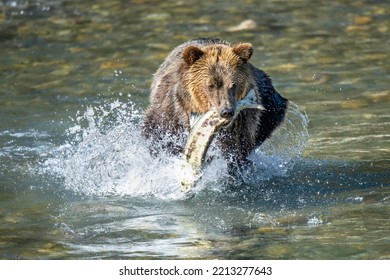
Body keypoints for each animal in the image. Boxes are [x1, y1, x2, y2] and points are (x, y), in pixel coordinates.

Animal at [142, 38, 288, 175]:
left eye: (233, 84)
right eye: (210, 85)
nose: (226, 111)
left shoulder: (244, 123)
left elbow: (237, 151)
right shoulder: (170, 113)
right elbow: (158, 135)